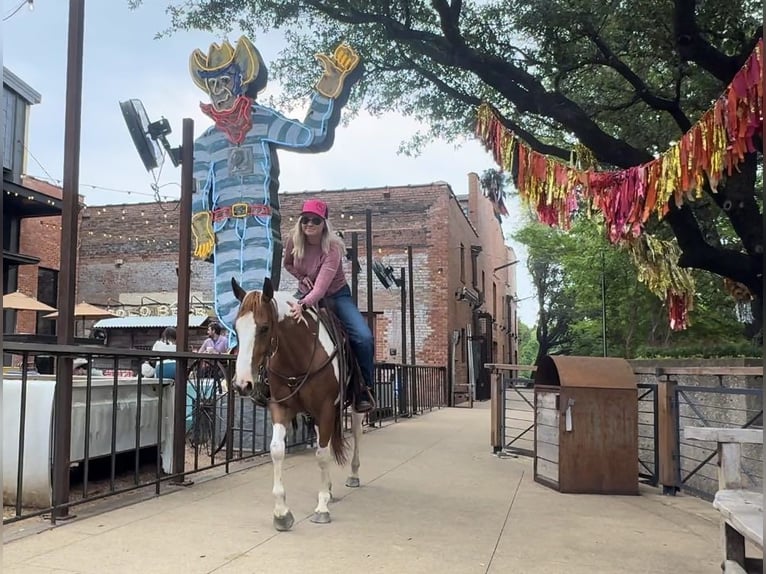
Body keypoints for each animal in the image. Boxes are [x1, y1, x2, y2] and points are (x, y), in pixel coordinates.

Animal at [231, 276, 366, 532]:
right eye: (236, 328)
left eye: (264, 327)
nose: (242, 384)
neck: (298, 356)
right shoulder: (280, 407)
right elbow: (277, 450)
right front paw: (282, 513)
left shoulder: (326, 408)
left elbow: (322, 455)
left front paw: (322, 508)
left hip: (353, 405)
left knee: (355, 431)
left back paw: (353, 475)